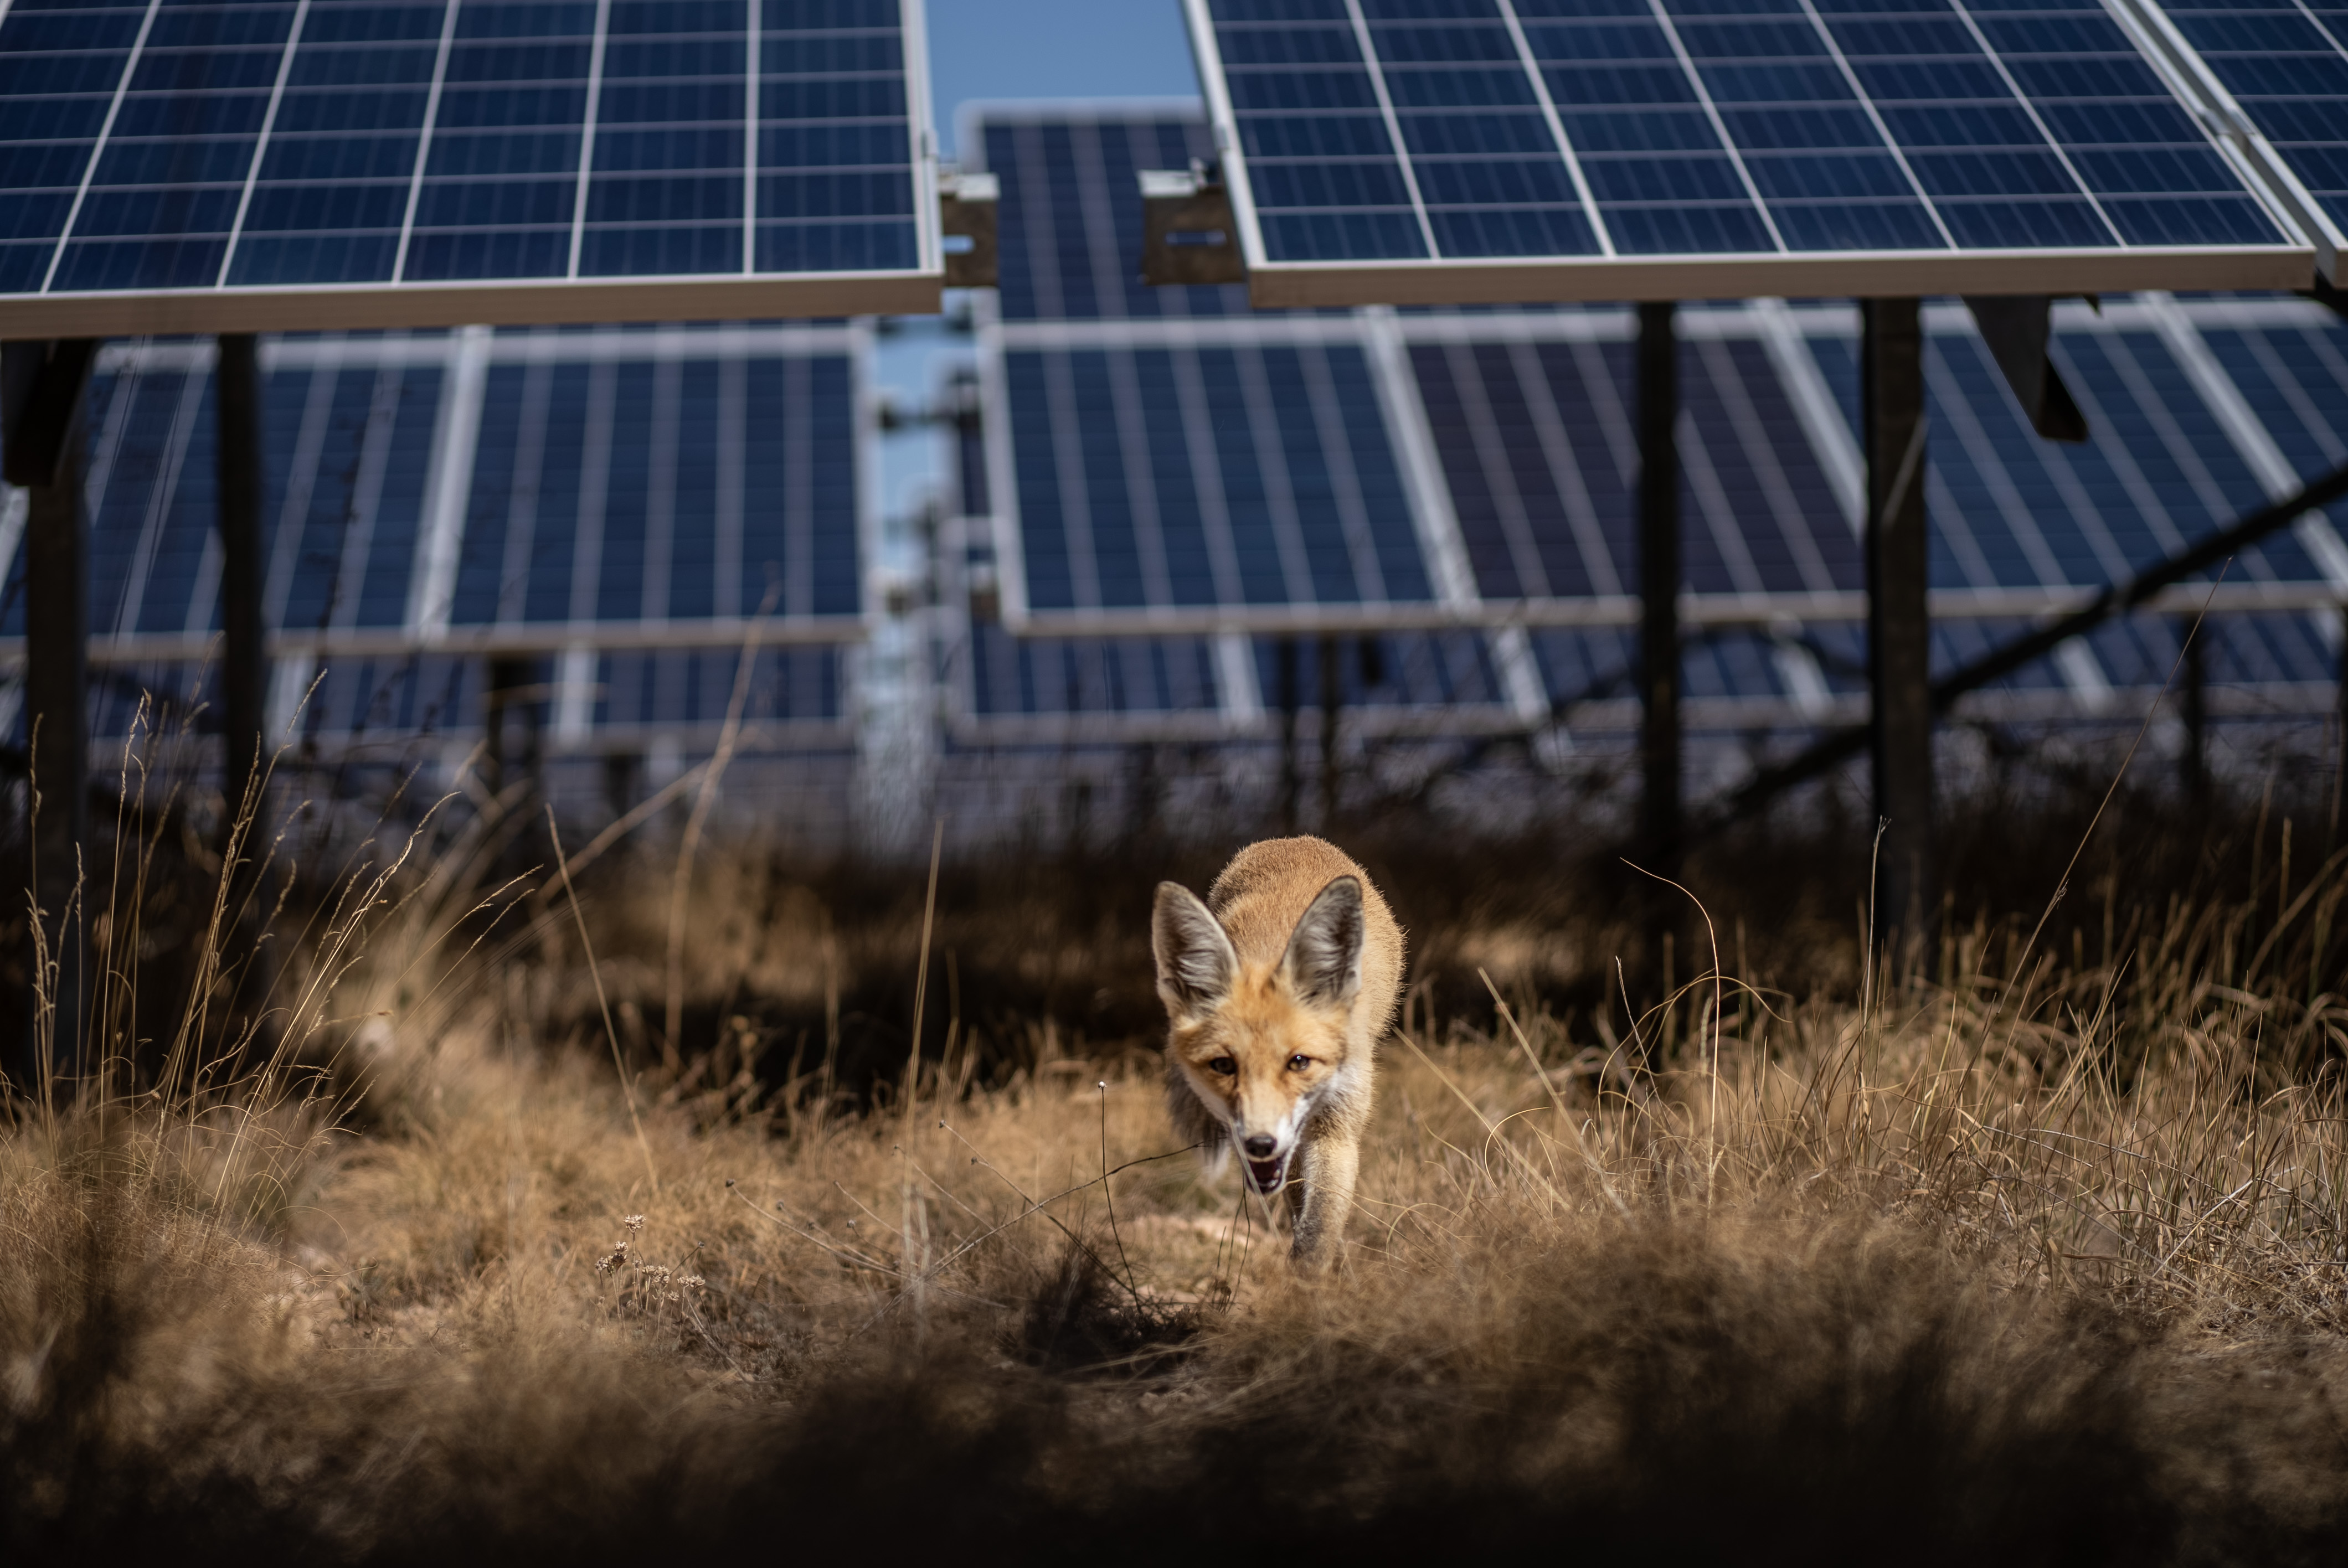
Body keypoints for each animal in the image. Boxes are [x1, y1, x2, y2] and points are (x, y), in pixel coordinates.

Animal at [1150, 840, 1399, 1267]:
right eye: (1223, 1066)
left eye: (1299, 1062)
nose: (1260, 1144)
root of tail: (1299, 839)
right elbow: (1304, 1217)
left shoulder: (1337, 1128)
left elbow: (1317, 1233)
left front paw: (1314, 1279)